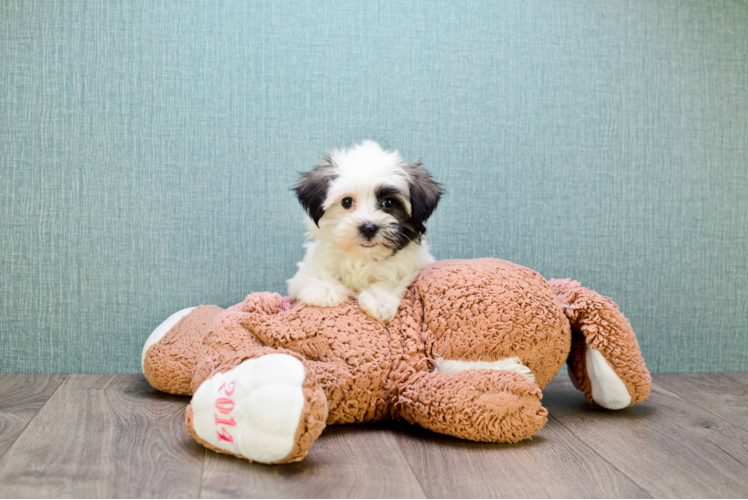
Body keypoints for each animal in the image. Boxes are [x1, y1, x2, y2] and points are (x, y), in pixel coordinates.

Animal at [284, 140, 438, 324]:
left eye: (389, 202)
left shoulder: (412, 267)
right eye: (347, 202)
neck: (363, 257)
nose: (368, 228)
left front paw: (379, 300)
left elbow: (391, 279)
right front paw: (325, 289)